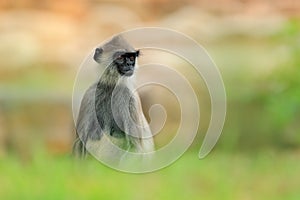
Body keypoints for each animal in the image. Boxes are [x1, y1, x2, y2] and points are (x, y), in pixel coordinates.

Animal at [72, 35, 154, 164]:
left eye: (131, 57)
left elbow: (135, 147)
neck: (111, 87)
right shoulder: (90, 94)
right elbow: (79, 144)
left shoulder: (127, 95)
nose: (130, 65)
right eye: (120, 57)